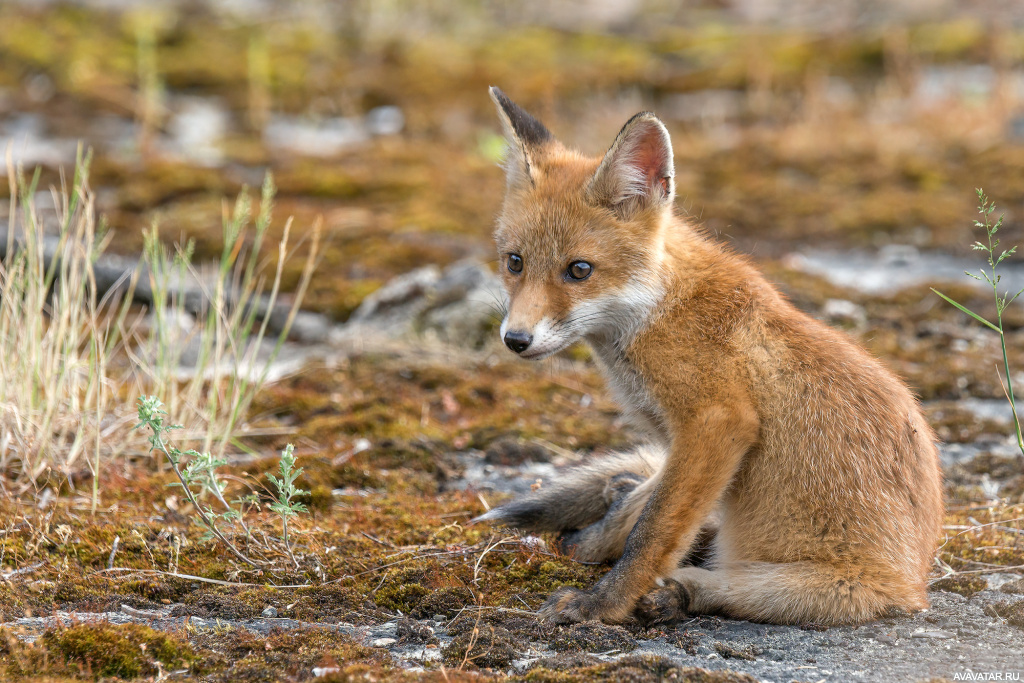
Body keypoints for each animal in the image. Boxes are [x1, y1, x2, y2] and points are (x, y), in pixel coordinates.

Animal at [471, 88, 942, 626]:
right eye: (514, 262)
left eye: (579, 270)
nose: (515, 339)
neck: (656, 311)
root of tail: (917, 581)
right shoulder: (683, 445)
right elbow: (641, 509)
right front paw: (589, 543)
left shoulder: (717, 423)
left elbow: (652, 533)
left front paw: (604, 603)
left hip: (822, 589)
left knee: (730, 583)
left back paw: (676, 592)